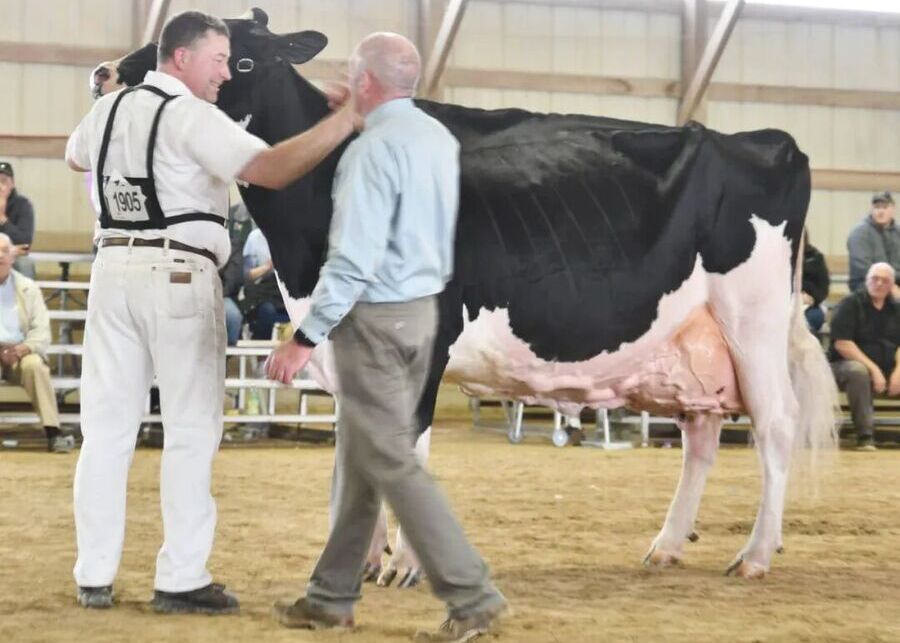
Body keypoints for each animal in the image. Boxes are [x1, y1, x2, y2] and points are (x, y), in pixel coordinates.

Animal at [91, 8, 837, 585]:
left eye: (242, 62)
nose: (107, 74)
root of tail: (764, 138)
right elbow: (361, 451)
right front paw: (366, 559)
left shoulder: (427, 335)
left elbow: (406, 445)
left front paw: (403, 565)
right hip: (692, 343)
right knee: (702, 435)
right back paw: (666, 546)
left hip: (753, 321)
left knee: (774, 426)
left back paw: (755, 555)